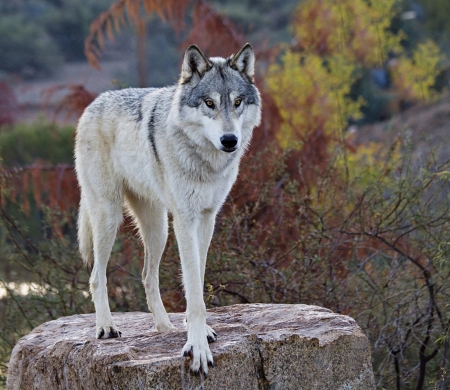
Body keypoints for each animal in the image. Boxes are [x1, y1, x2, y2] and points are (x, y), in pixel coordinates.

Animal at [75, 42, 262, 374]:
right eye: (209, 103)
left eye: (238, 102)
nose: (229, 140)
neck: (204, 160)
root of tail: (94, 103)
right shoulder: (185, 220)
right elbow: (194, 290)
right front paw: (197, 347)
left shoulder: (207, 218)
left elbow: (197, 278)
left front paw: (197, 330)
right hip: (109, 218)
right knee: (97, 276)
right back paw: (106, 327)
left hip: (158, 229)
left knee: (148, 277)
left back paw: (165, 328)